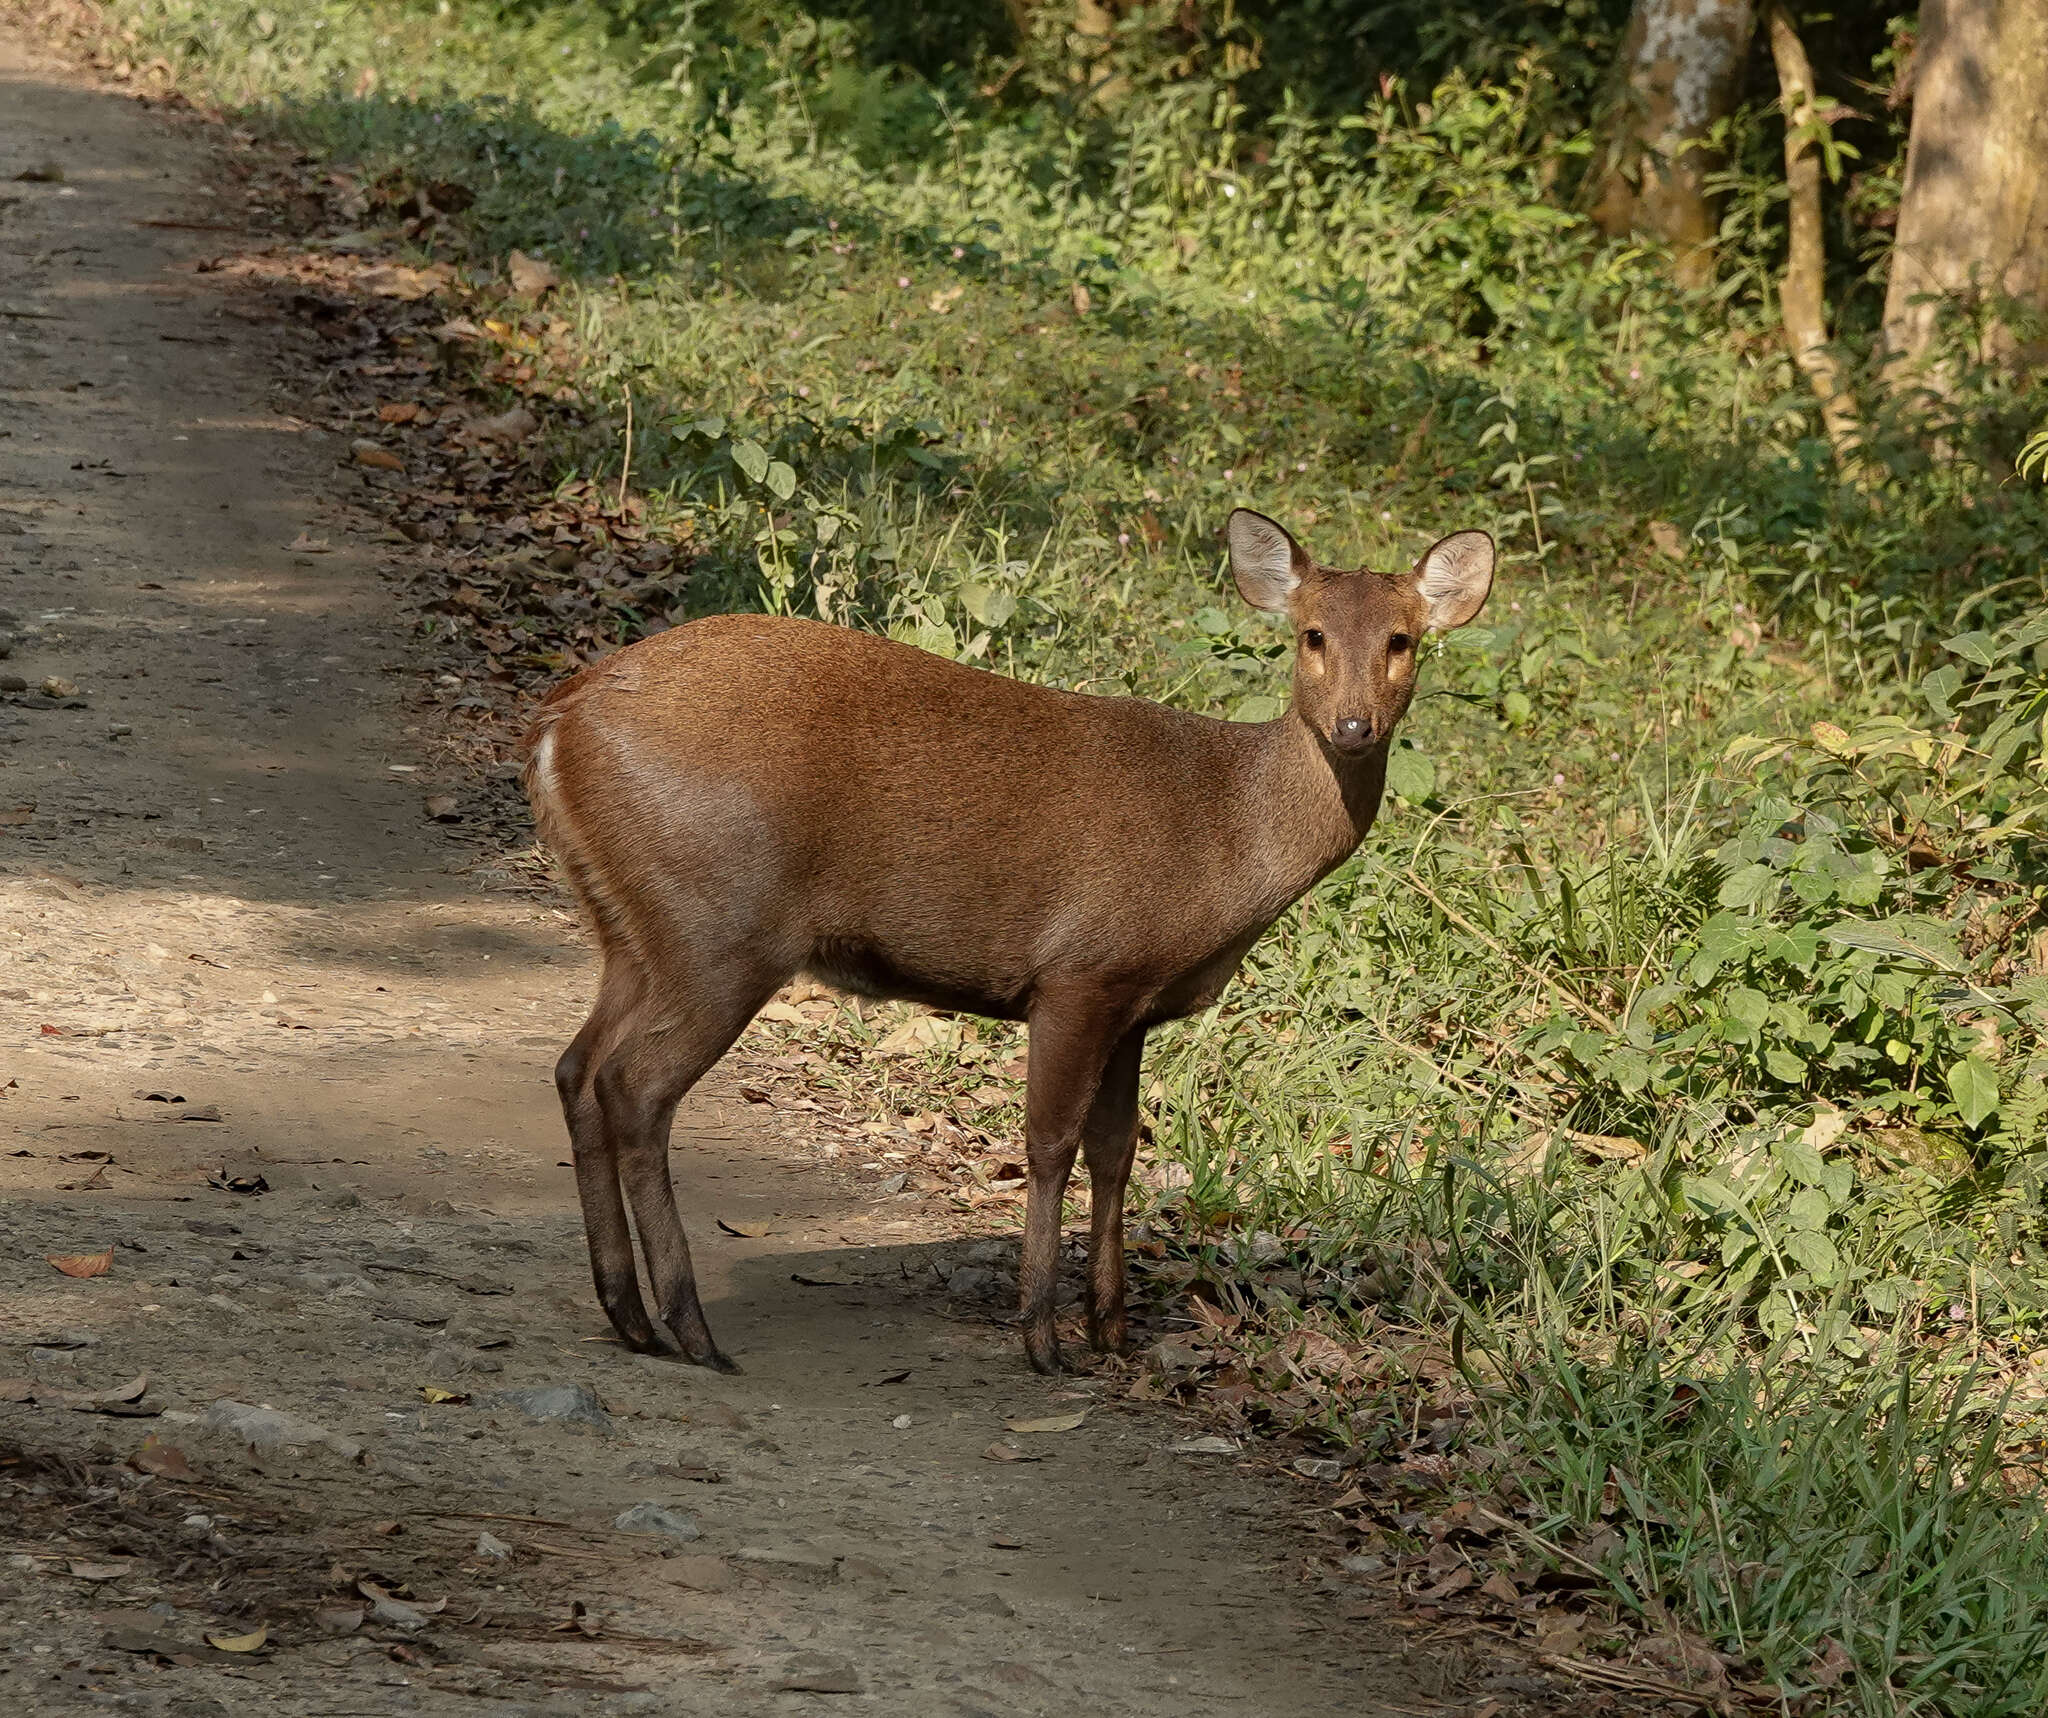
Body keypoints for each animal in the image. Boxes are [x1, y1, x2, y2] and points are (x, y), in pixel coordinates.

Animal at [524, 507, 1490, 1367]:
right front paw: (1039, 1337)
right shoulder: (1080, 972)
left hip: (634, 929)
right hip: (722, 925)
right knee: (636, 1085)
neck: (1228, 831)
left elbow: (1117, 1150)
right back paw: (690, 1328)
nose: (1355, 726)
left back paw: (628, 1314)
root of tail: (559, 721)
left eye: (1403, 640)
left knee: (577, 1066)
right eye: (1312, 635)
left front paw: (1112, 1330)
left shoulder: (1134, 1000)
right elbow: (1049, 1144)